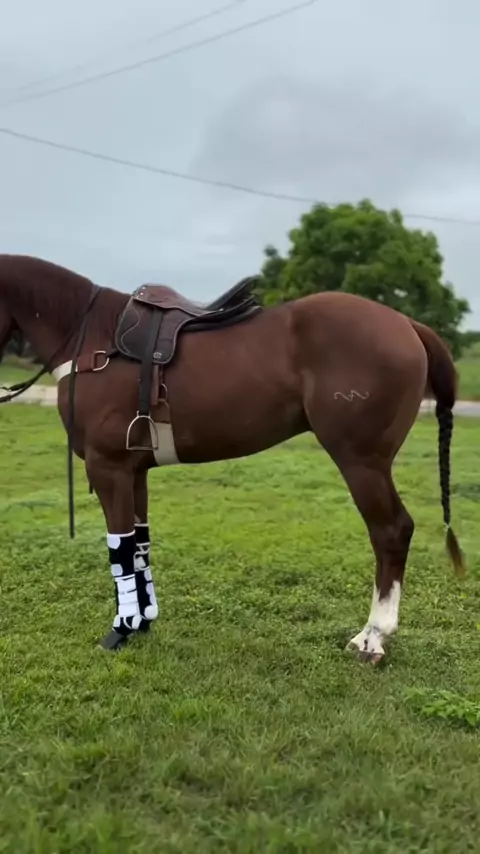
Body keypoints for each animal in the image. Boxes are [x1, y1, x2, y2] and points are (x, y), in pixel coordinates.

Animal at [0, 253, 464, 662]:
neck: (93, 339)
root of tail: (406, 323)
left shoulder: (107, 467)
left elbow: (120, 546)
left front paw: (122, 628)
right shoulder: (134, 471)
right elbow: (140, 543)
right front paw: (144, 621)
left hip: (362, 462)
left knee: (391, 532)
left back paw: (373, 636)